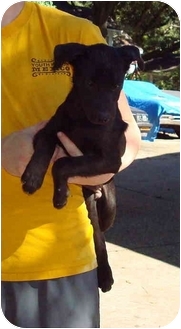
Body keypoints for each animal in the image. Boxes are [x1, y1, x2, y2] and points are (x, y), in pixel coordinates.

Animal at [21, 42, 143, 290]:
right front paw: (33, 177)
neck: (84, 120)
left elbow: (62, 162)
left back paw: (105, 276)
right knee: (96, 234)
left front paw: (60, 194)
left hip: (109, 208)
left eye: (116, 86)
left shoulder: (109, 160)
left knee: (101, 236)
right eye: (89, 84)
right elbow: (46, 149)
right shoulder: (48, 131)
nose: (104, 118)